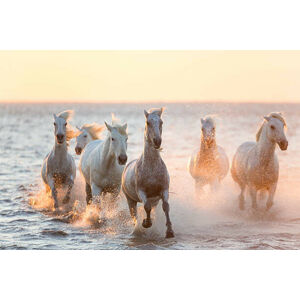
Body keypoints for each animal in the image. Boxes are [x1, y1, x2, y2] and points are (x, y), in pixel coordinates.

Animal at [121, 108, 175, 239]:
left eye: (161, 122)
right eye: (148, 122)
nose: (157, 141)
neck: (151, 168)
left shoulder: (164, 190)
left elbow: (166, 206)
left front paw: (169, 231)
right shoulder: (141, 192)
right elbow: (146, 207)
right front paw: (146, 223)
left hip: (155, 200)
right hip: (130, 199)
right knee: (134, 215)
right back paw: (138, 230)